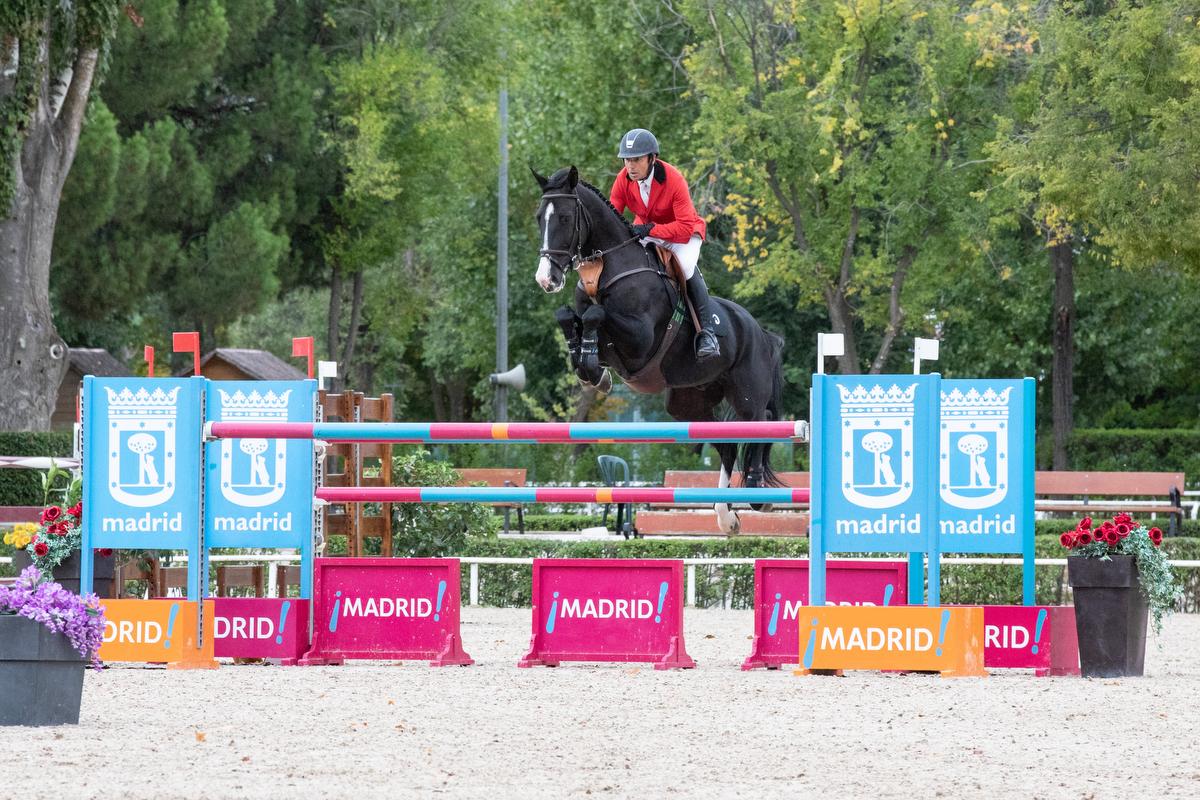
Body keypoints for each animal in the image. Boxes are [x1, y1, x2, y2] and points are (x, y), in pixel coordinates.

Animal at [532, 165, 782, 532]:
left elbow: (596, 314)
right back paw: (726, 517)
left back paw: (756, 490)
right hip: (687, 404)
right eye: (540, 218)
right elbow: (568, 316)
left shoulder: (639, 340)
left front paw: (591, 365)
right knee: (726, 444)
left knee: (762, 421)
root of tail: (761, 332)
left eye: (564, 217)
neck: (607, 269)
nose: (546, 279)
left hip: (747, 393)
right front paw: (591, 370)